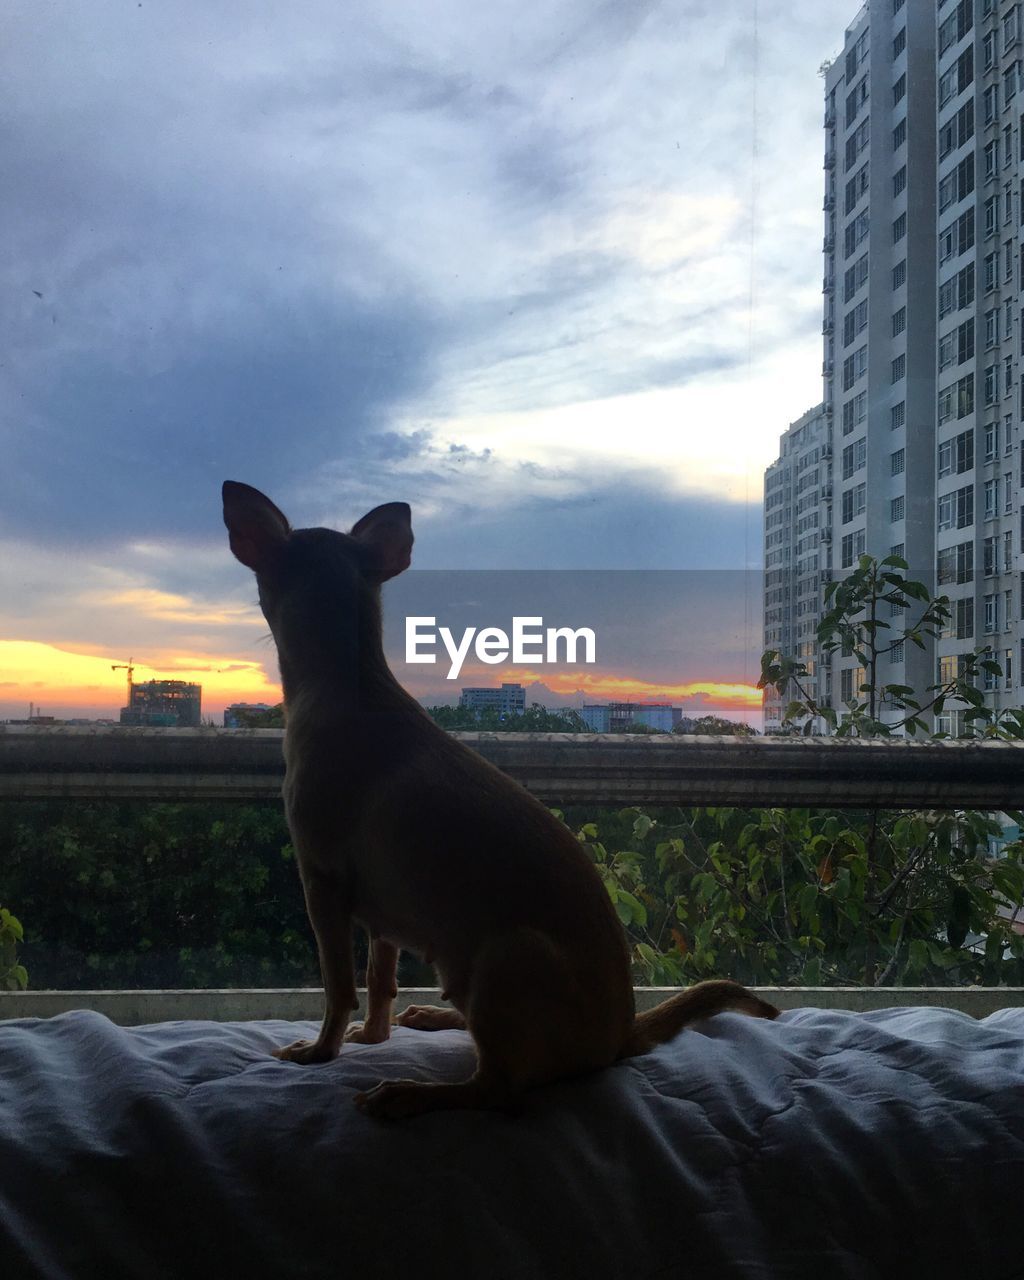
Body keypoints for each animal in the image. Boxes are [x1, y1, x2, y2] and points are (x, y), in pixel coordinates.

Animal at [221, 481, 778, 1121]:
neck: (351, 682)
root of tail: (619, 1037)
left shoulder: (323, 886)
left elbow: (339, 986)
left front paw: (322, 1051)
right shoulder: (381, 911)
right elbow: (380, 980)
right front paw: (373, 1036)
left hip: (504, 958)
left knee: (496, 1086)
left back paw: (410, 1094)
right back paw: (434, 1018)